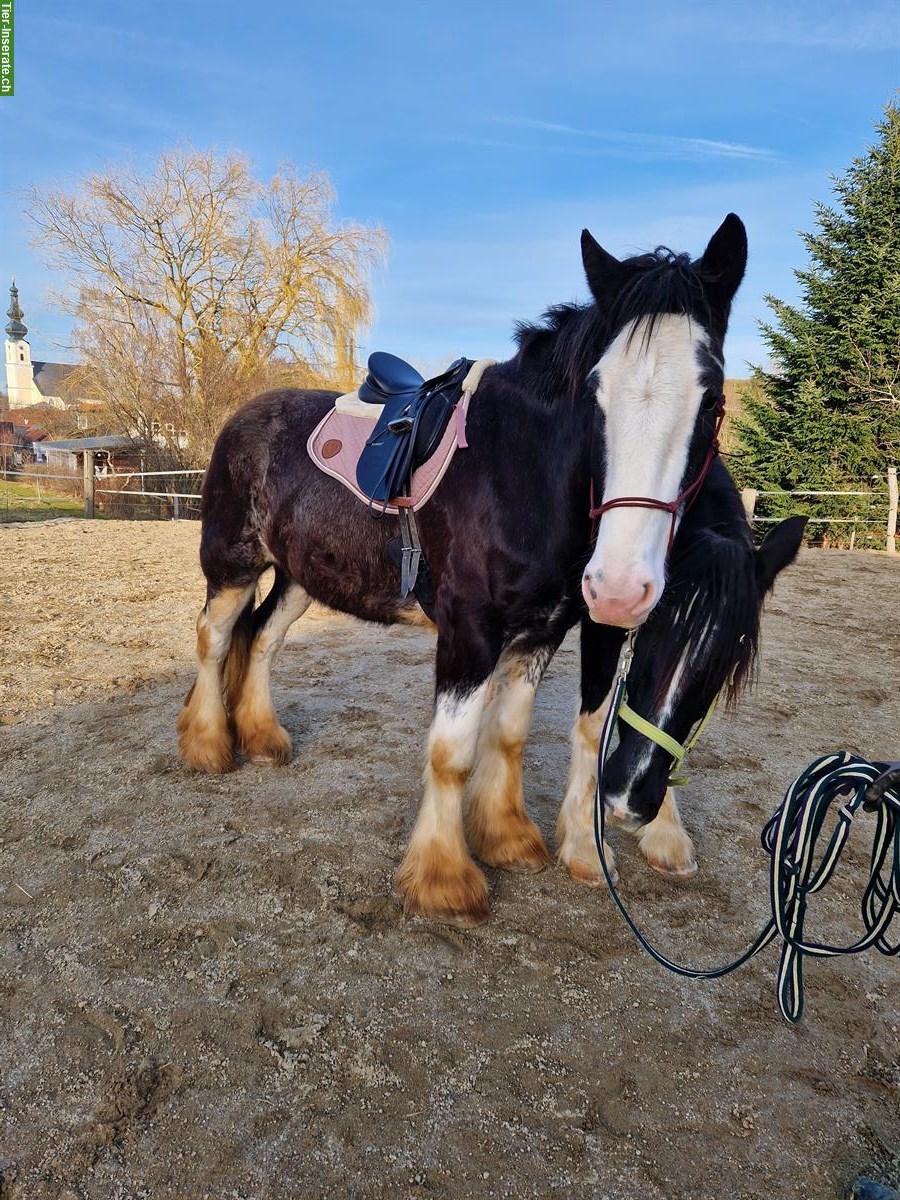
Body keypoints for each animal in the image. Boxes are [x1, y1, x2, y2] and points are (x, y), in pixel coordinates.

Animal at [177, 216, 753, 926]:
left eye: (712, 400)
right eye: (595, 394)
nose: (619, 588)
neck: (519, 471)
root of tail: (243, 416)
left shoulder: (541, 631)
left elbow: (506, 736)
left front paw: (509, 839)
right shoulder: (468, 631)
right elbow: (451, 753)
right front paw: (446, 880)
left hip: (299, 579)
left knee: (259, 640)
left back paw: (262, 739)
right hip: (231, 563)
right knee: (213, 637)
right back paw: (208, 746)